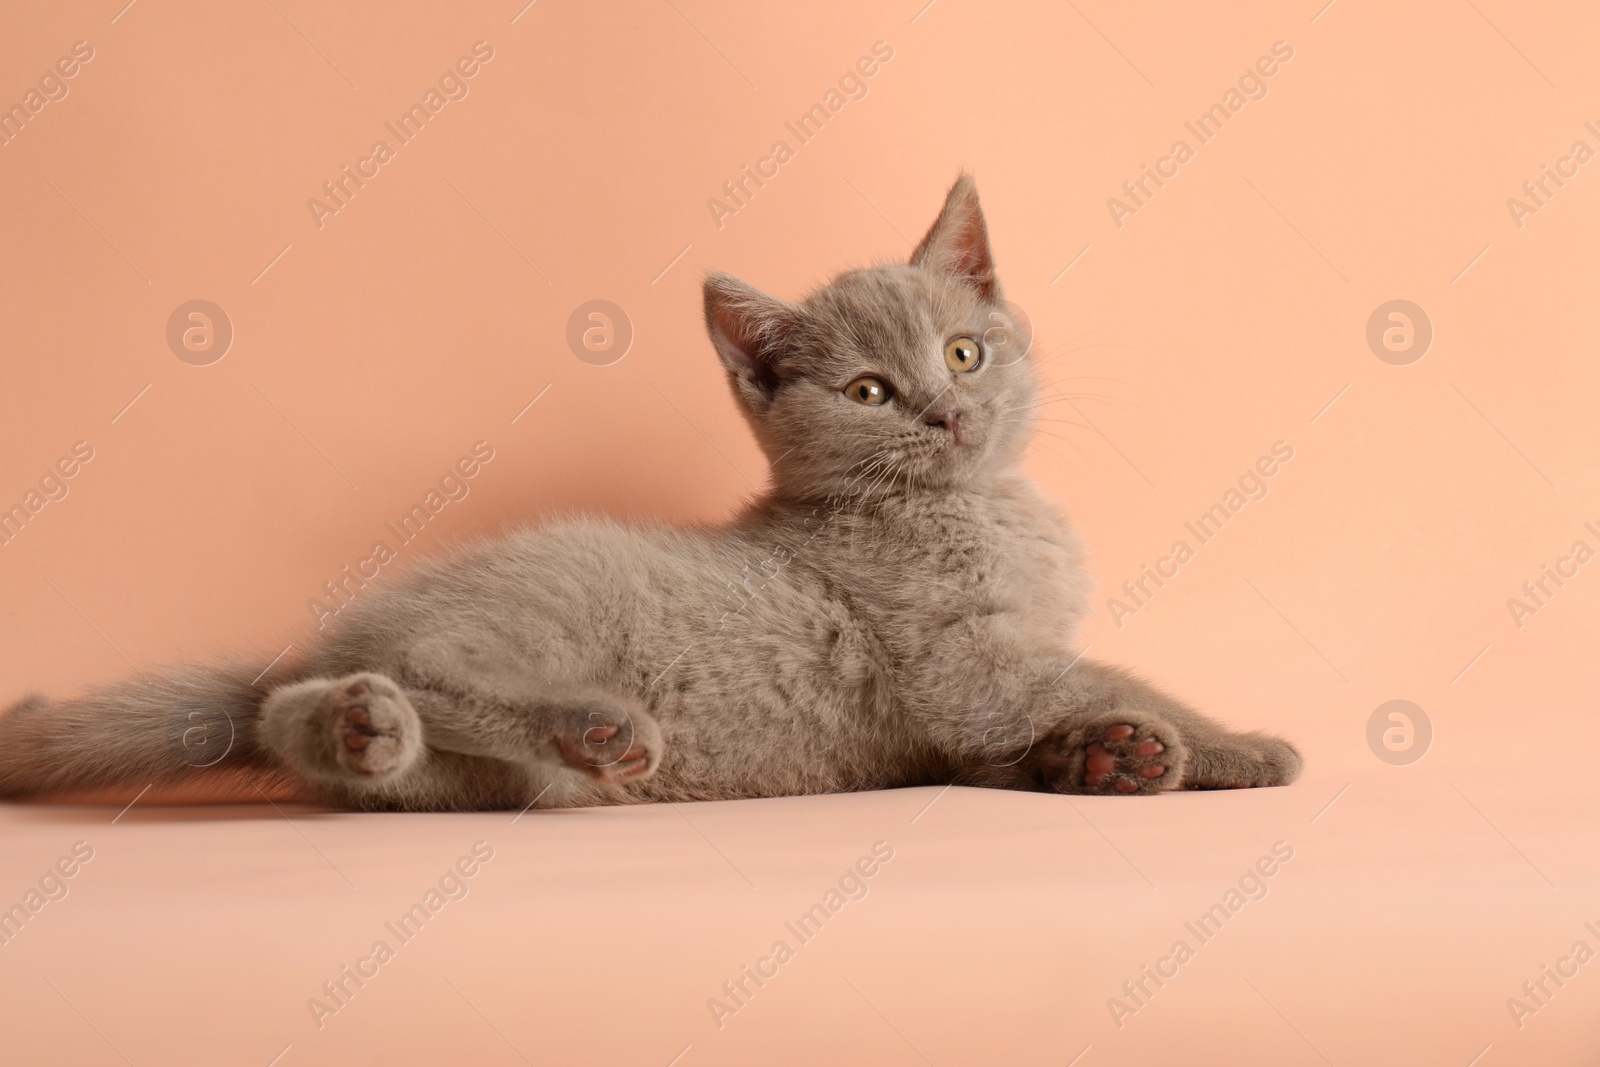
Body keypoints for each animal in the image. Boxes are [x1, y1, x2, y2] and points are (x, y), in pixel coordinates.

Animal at [0, 173, 1299, 809]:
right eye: (870, 391)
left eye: (966, 351)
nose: (946, 410)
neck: (976, 508)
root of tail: (320, 640)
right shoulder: (970, 669)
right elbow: (1118, 677)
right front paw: (1238, 744)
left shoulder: (962, 720)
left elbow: (1043, 729)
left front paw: (1109, 759)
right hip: (546, 613)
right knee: (410, 680)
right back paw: (585, 721)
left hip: (488, 782)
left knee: (327, 735)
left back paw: (370, 733)